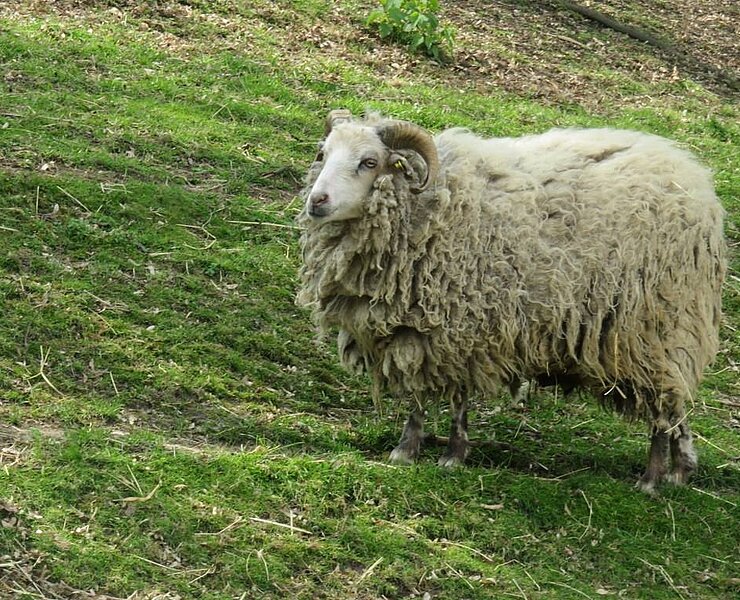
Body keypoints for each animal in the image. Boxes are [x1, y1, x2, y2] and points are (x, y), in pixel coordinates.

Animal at [296, 109, 726, 493]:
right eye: (324, 153)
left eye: (369, 162)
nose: (317, 201)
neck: (433, 204)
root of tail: (697, 182)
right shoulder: (418, 329)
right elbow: (420, 394)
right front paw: (408, 449)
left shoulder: (459, 325)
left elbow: (455, 398)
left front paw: (450, 454)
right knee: (675, 405)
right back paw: (680, 470)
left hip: (653, 328)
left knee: (664, 404)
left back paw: (652, 478)